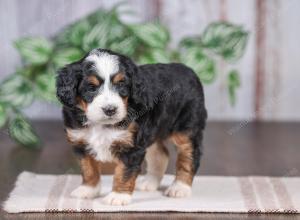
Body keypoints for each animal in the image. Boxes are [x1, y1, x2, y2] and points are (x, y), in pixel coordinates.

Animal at [55, 48, 206, 206]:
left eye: (121, 85)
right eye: (91, 88)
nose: (110, 109)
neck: (101, 124)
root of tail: (188, 70)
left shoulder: (130, 147)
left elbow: (123, 173)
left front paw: (118, 196)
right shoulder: (81, 142)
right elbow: (88, 169)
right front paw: (88, 190)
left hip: (187, 128)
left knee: (189, 156)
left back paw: (180, 187)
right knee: (160, 154)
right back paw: (150, 182)